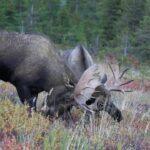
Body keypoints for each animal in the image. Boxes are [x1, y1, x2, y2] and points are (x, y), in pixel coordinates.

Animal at [0, 31, 132, 122]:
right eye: (68, 99)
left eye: (110, 98)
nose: (119, 116)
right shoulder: (22, 85)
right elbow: (30, 109)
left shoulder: (35, 91)